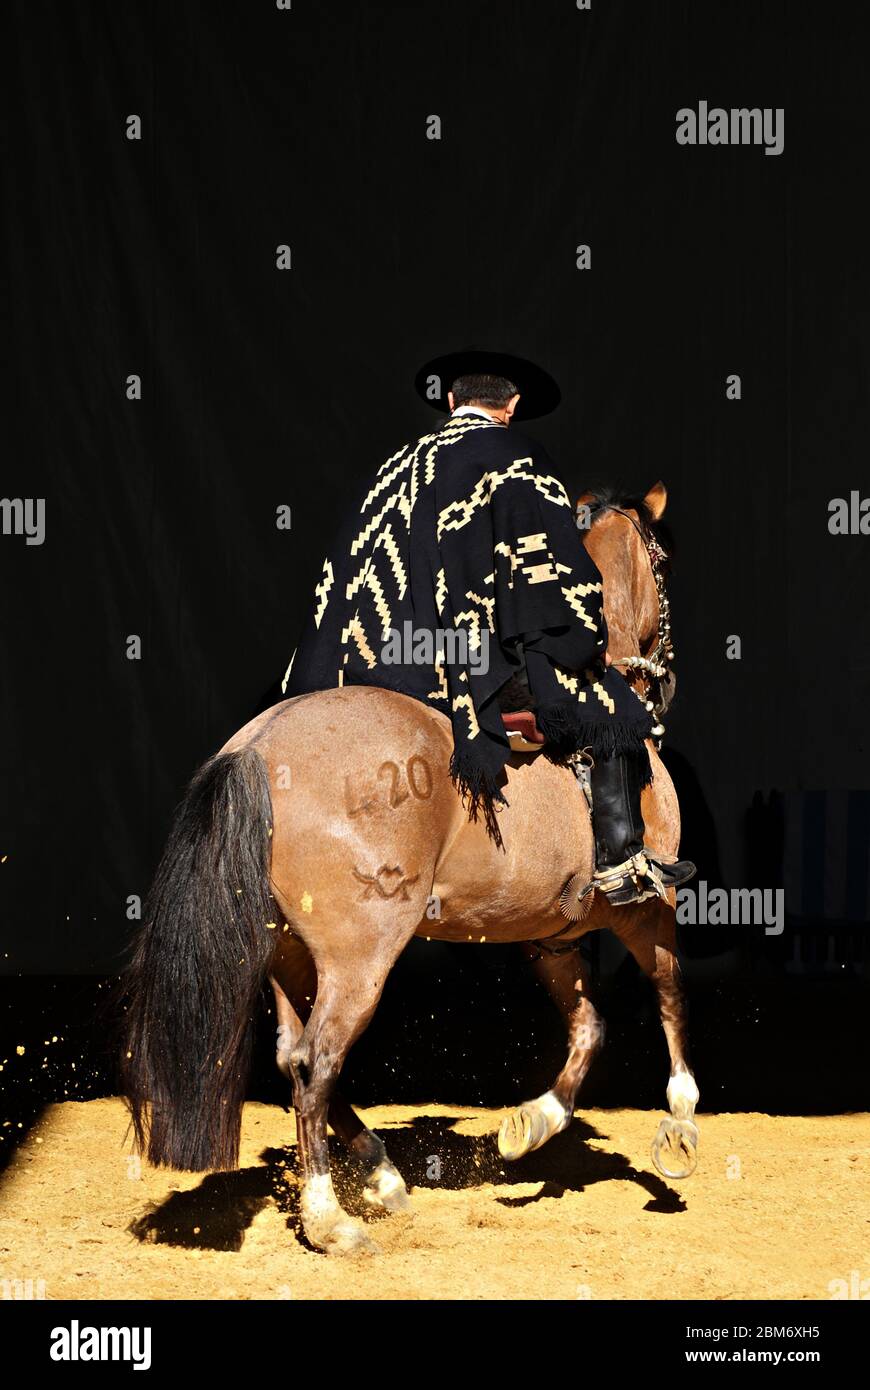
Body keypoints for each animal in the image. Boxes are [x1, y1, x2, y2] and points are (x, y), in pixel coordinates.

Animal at [122, 479, 700, 1255]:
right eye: (662, 563)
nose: (664, 680)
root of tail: (259, 744)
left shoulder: (549, 932)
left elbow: (589, 1026)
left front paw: (533, 1123)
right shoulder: (646, 907)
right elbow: (668, 993)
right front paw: (681, 1122)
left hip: (288, 951)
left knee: (294, 1058)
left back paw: (379, 1172)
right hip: (361, 953)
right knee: (316, 1061)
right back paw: (331, 1216)